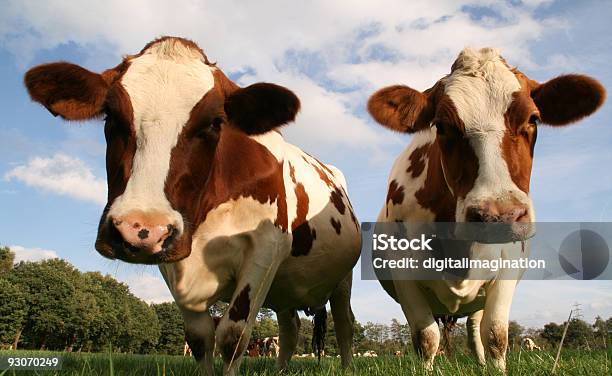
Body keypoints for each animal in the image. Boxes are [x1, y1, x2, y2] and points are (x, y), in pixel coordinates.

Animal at [26, 34, 364, 374]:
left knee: (344, 322)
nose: (140, 230)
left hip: (342, 278)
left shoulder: (266, 248)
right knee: (290, 326)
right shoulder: (172, 257)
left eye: (215, 122)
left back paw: (348, 367)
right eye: (110, 116)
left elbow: (232, 335)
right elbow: (200, 337)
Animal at [366, 47, 604, 374]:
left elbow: (495, 334)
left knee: (474, 331)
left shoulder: (507, 267)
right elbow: (426, 337)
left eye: (533, 119)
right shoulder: (404, 274)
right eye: (442, 125)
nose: (498, 217)